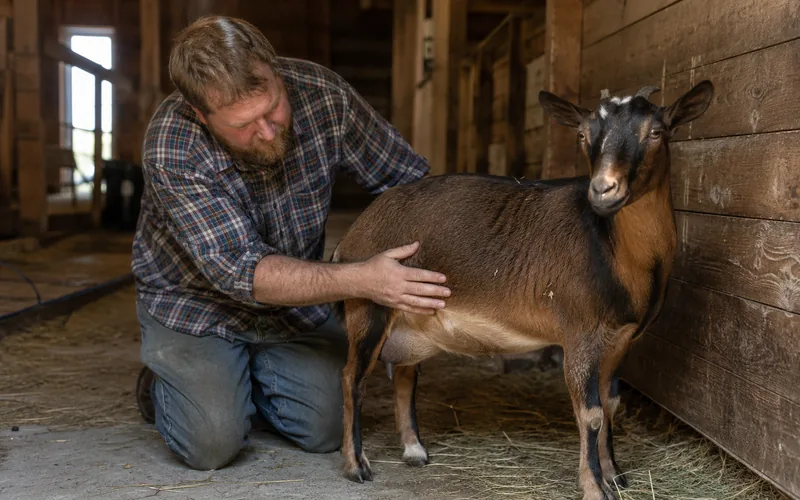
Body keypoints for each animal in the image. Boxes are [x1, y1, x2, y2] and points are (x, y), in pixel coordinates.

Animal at [330, 80, 714, 500]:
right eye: (584, 135)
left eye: (657, 132)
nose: (603, 190)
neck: (614, 250)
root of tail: (354, 234)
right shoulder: (580, 334)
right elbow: (591, 413)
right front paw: (594, 486)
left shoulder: (621, 340)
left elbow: (611, 404)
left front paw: (614, 475)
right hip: (369, 304)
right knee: (352, 377)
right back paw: (356, 465)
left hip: (414, 311)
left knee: (405, 375)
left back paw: (414, 450)